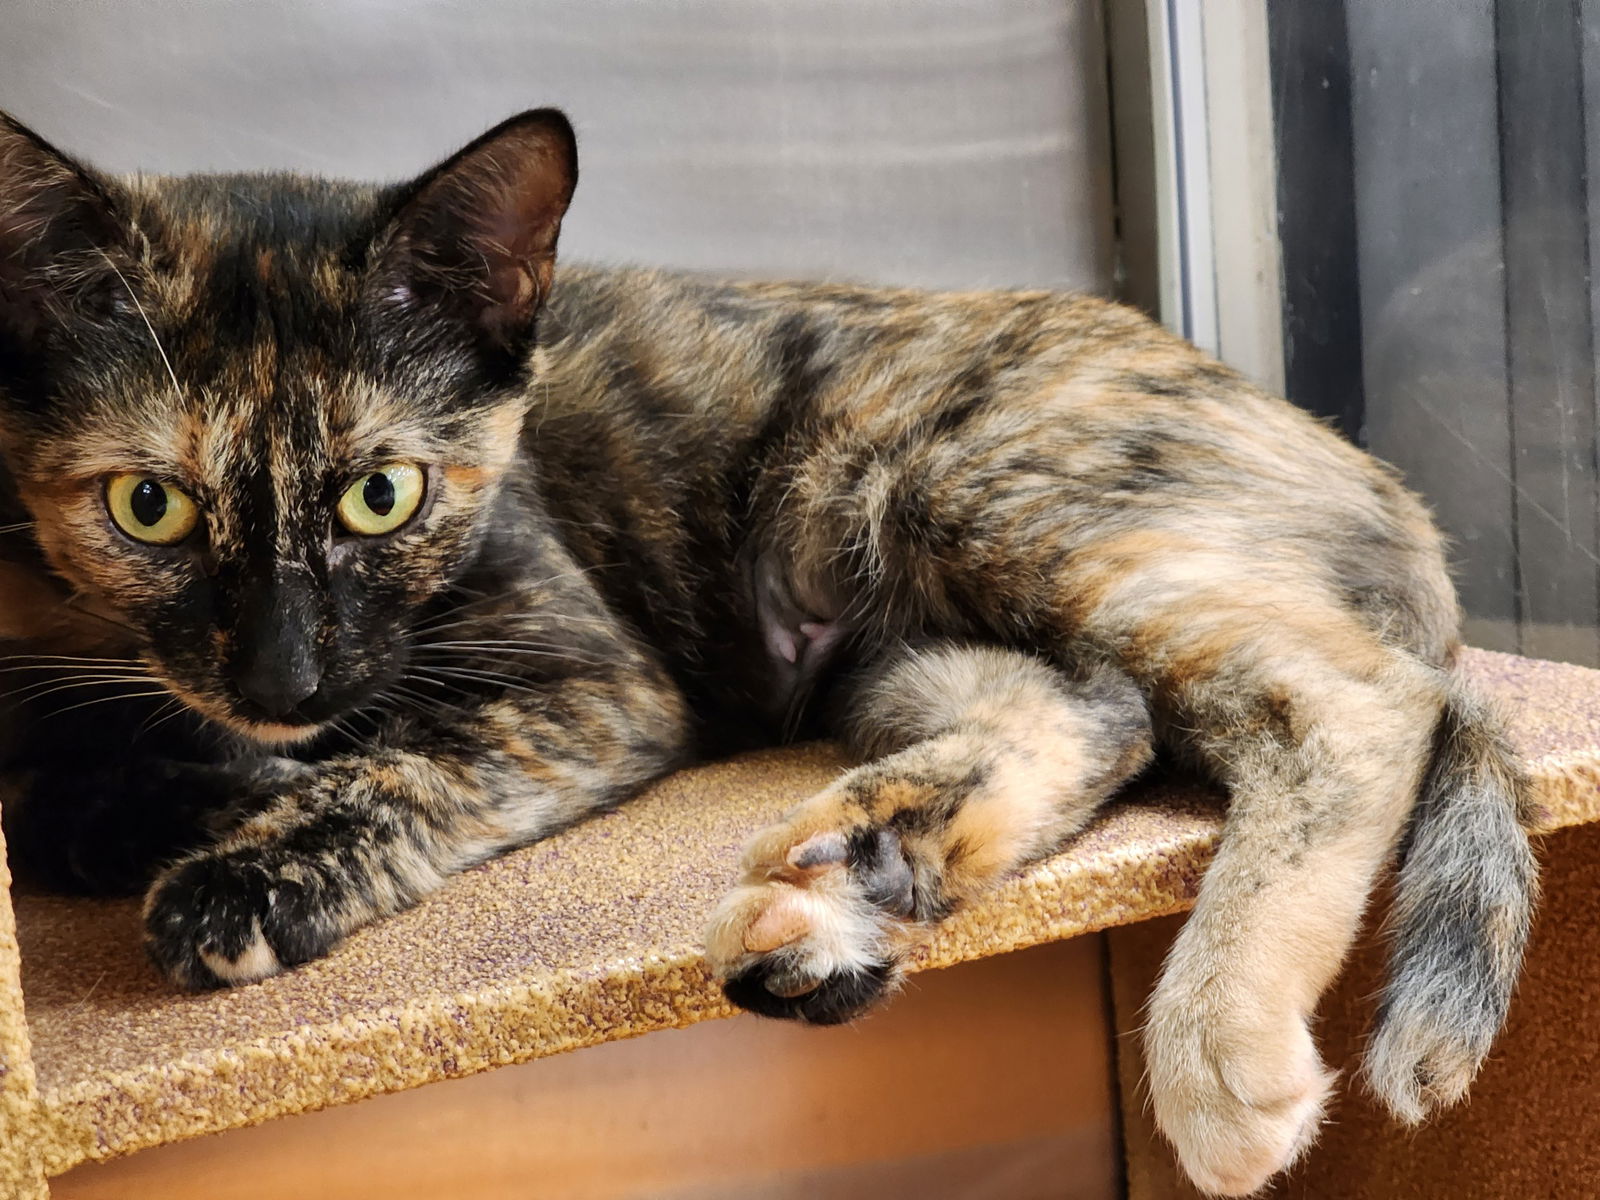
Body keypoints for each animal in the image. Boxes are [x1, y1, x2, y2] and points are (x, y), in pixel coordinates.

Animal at [0, 110, 1536, 1196]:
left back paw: (1217, 1045)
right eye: (149, 507)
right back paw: (843, 883)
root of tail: (1370, 474)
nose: (285, 681)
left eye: (385, 494)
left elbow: (408, 763)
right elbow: (67, 790)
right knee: (1100, 711)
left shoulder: (594, 682)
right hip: (895, 637)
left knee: (1345, 697)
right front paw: (186, 787)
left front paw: (250, 872)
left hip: (949, 477)